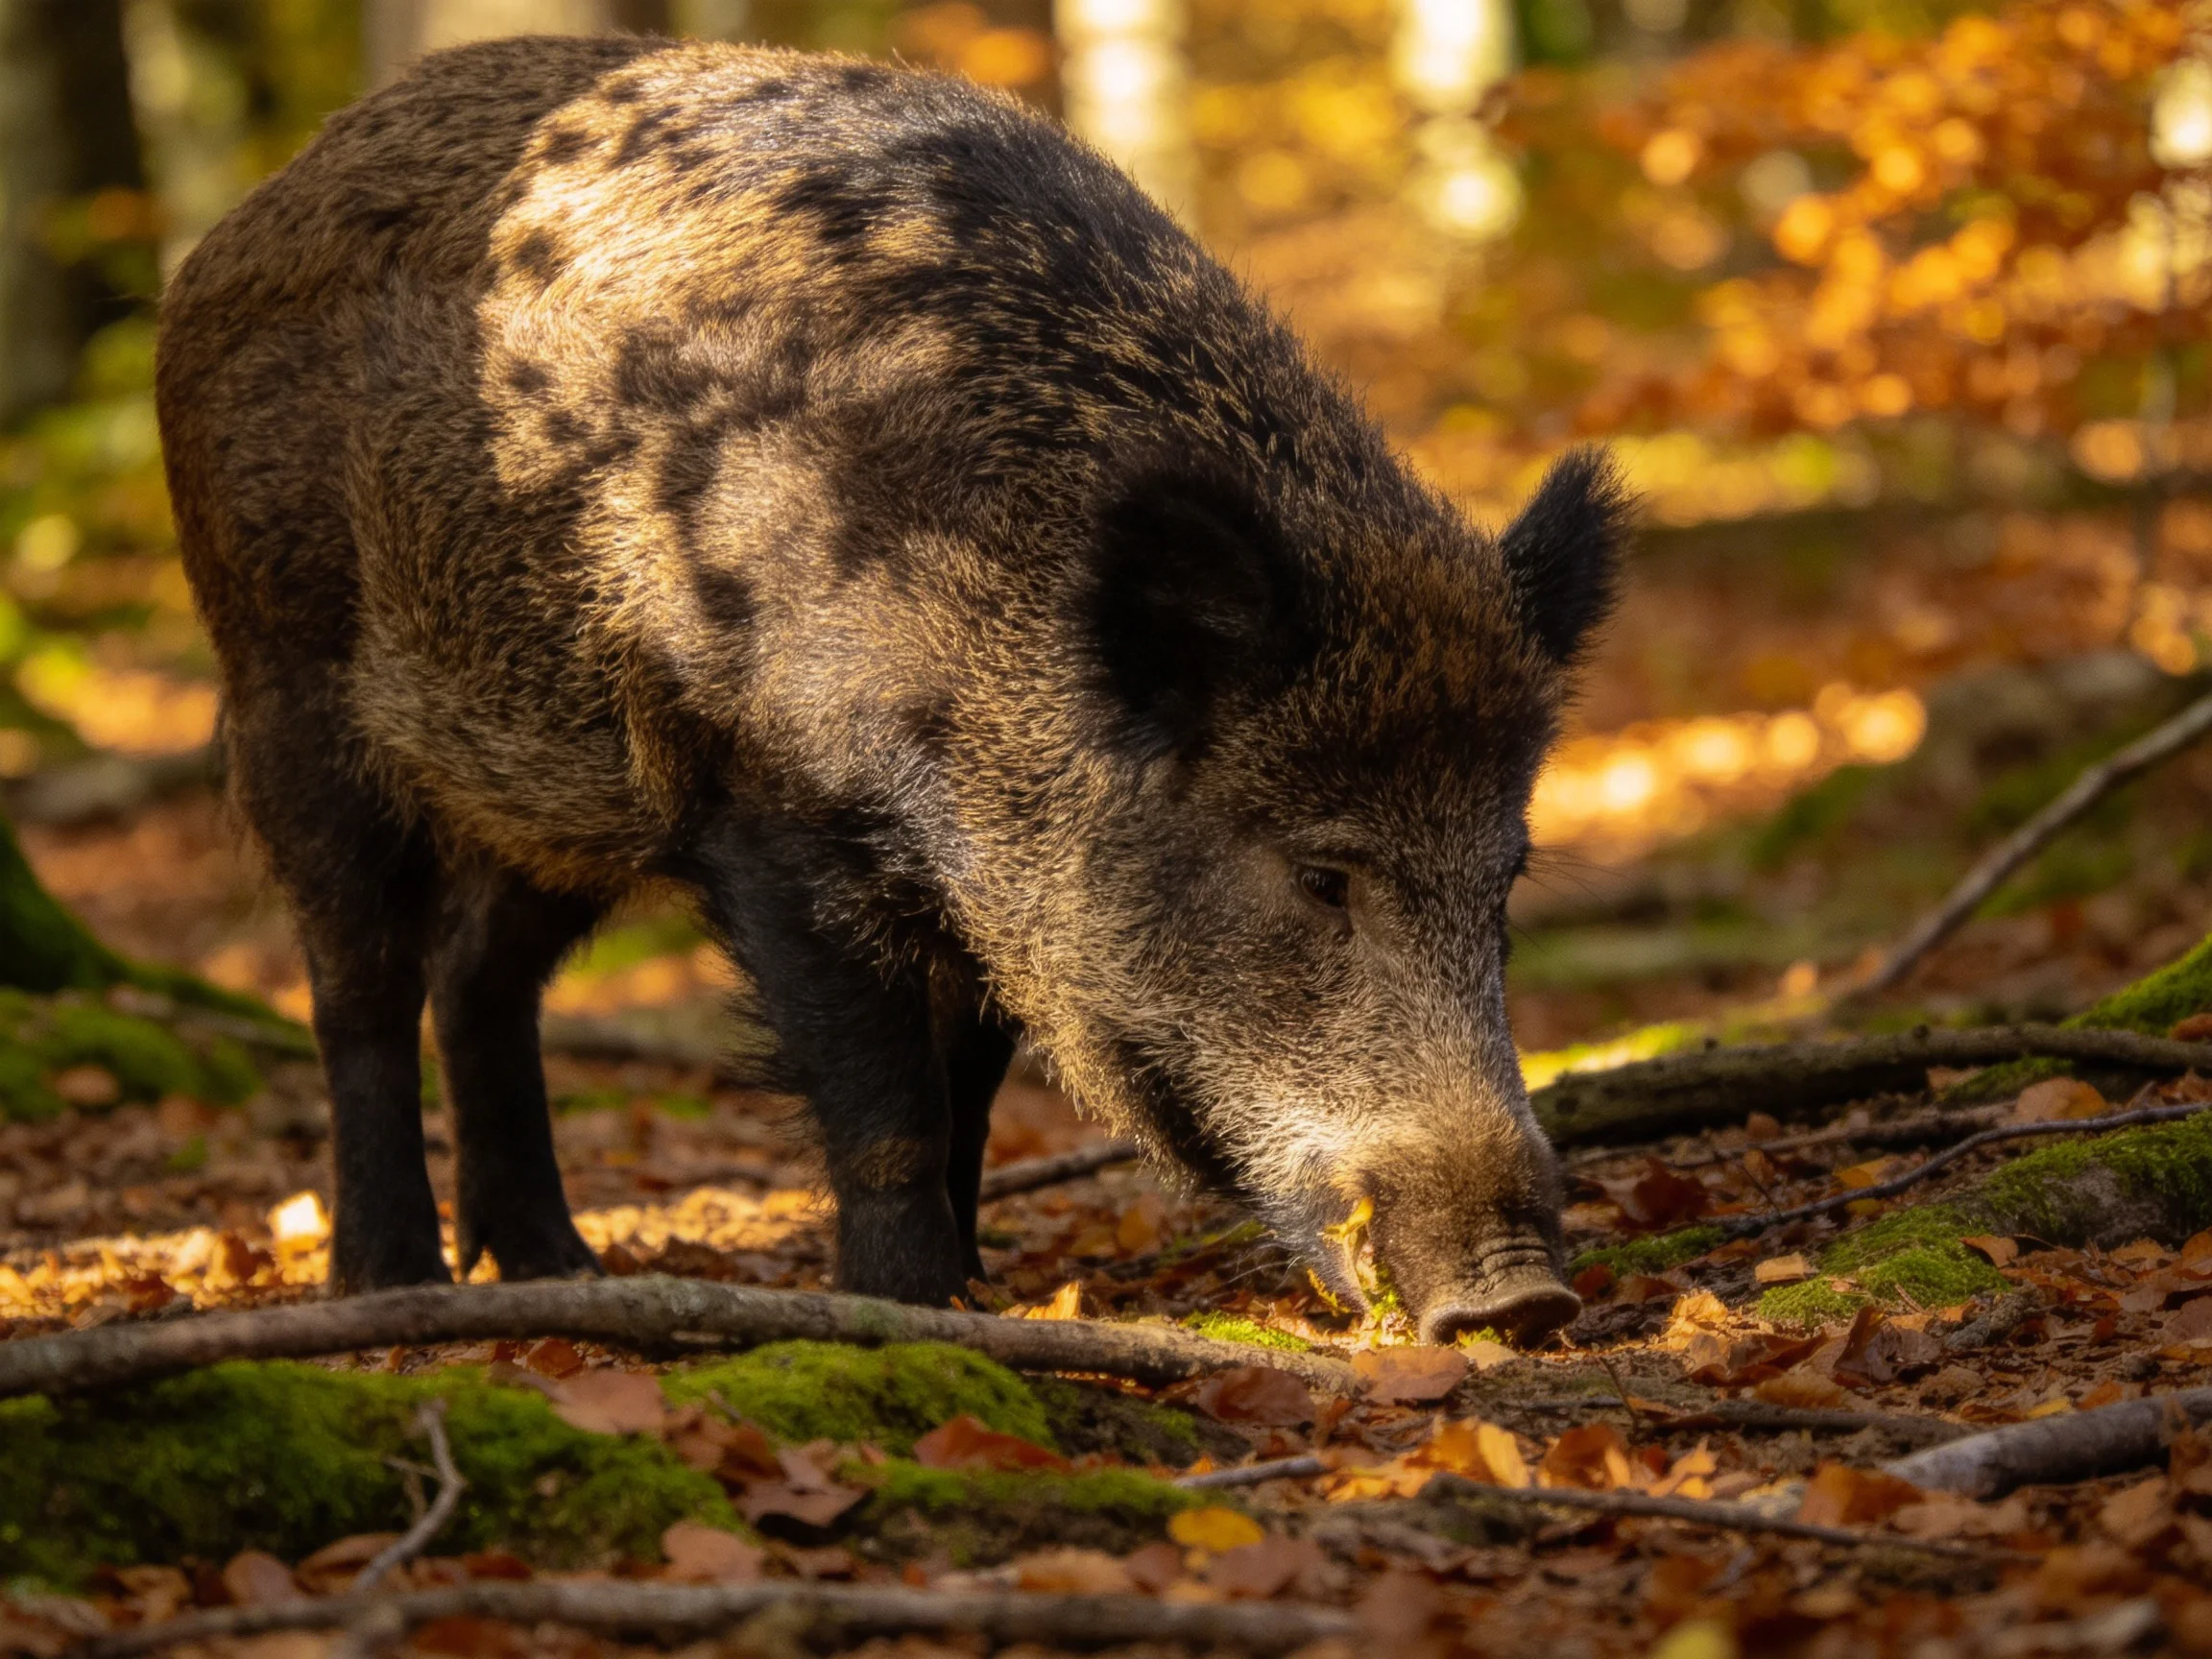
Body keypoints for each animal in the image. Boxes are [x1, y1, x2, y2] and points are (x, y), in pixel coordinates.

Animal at [154, 33, 1623, 1343]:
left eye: (1505, 878)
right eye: (1321, 875)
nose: (1524, 1300)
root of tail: (237, 225)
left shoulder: (984, 889)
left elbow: (967, 1087)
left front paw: (976, 1295)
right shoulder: (770, 800)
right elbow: (882, 1093)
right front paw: (908, 1306)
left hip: (563, 781)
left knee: (479, 977)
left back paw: (553, 1271)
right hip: (285, 678)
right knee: (359, 982)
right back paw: (391, 1286)